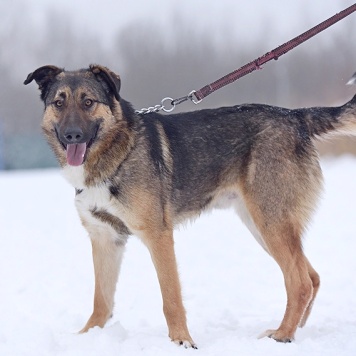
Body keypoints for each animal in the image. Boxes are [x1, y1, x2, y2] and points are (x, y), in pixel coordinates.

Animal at [24, 64, 356, 348]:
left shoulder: (158, 237)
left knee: (299, 282)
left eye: (89, 102)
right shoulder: (105, 239)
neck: (117, 153)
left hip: (270, 223)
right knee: (310, 276)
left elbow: (171, 299)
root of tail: (295, 116)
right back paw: (294, 329)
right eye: (58, 103)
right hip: (263, 226)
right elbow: (101, 301)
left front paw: (182, 342)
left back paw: (283, 335)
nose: (72, 135)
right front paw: (87, 338)